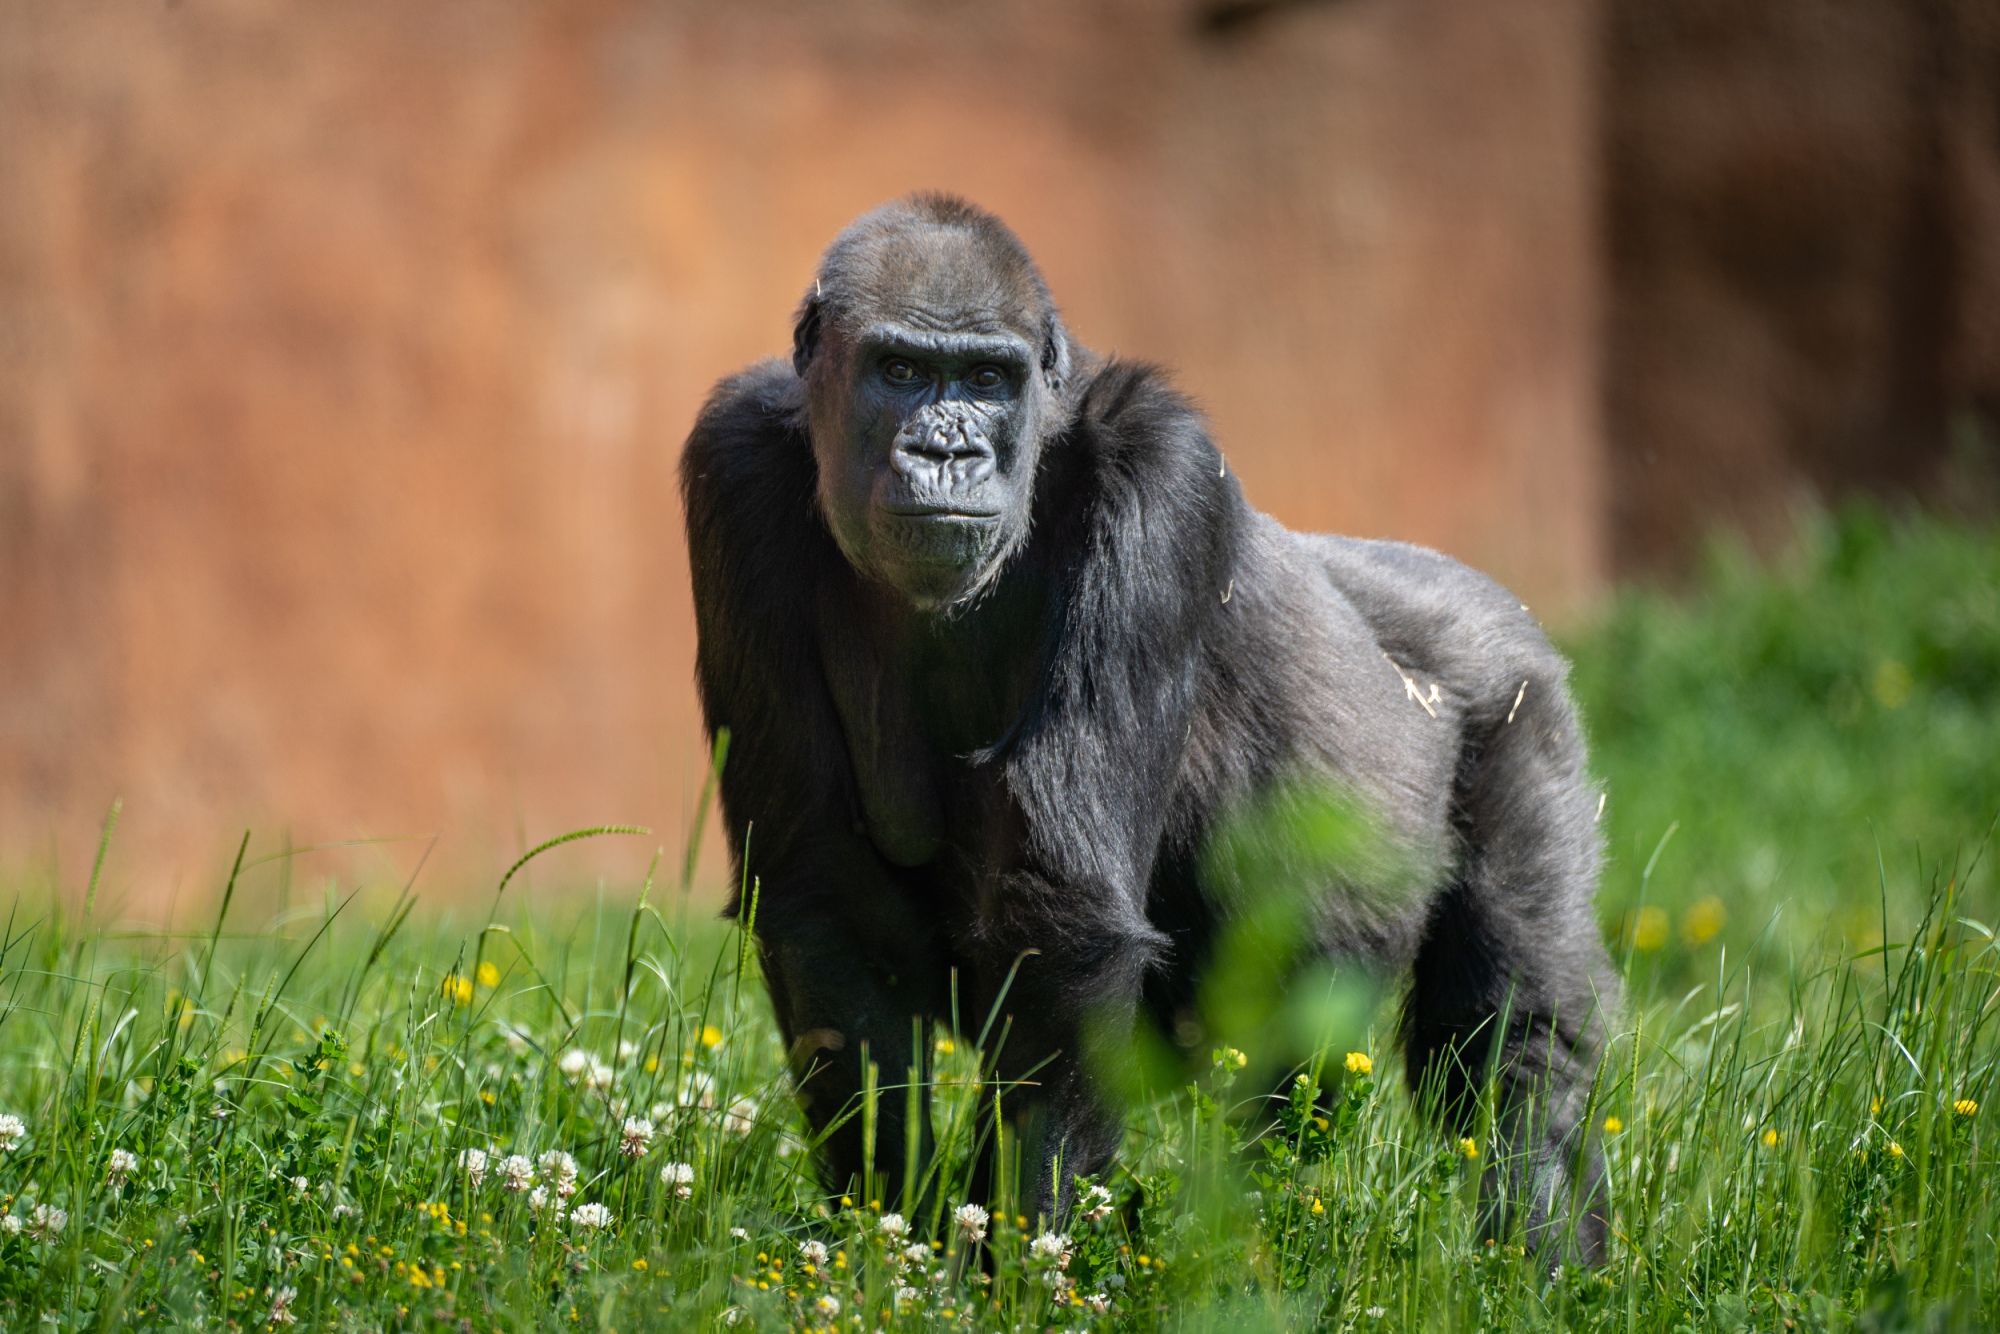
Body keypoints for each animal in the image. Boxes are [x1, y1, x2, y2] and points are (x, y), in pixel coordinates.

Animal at [680, 193, 1616, 1256]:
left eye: (987, 380)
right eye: (901, 370)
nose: (946, 452)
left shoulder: (1162, 474)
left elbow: (1066, 920)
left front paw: (1011, 1267)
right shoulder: (733, 467)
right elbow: (825, 899)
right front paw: (890, 1237)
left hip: (1517, 698)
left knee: (1515, 1042)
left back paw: (1543, 1249)